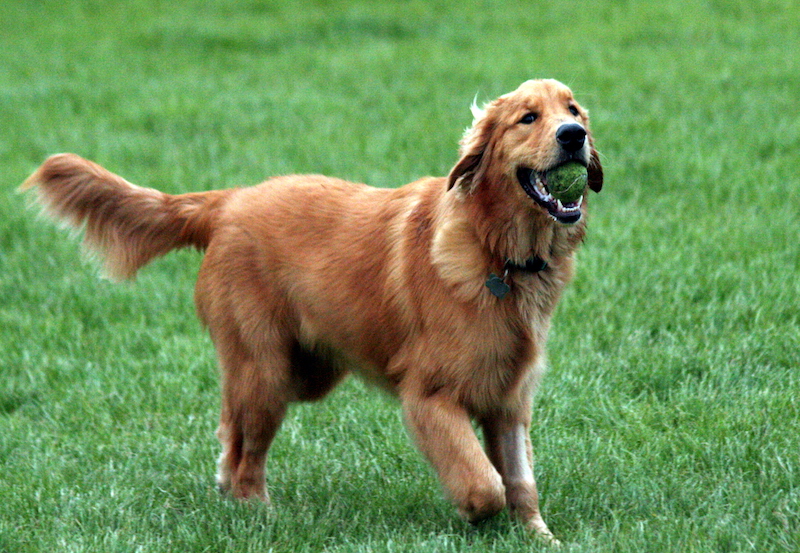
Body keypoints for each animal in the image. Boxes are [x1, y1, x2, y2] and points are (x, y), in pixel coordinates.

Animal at [21, 77, 600, 540]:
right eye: (529, 117)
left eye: (572, 109)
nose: (574, 135)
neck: (498, 251)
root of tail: (227, 201)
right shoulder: (429, 397)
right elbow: (483, 483)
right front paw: (475, 515)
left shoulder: (510, 400)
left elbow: (520, 483)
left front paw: (539, 538)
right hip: (267, 369)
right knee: (245, 451)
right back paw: (258, 511)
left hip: (307, 371)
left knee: (230, 431)